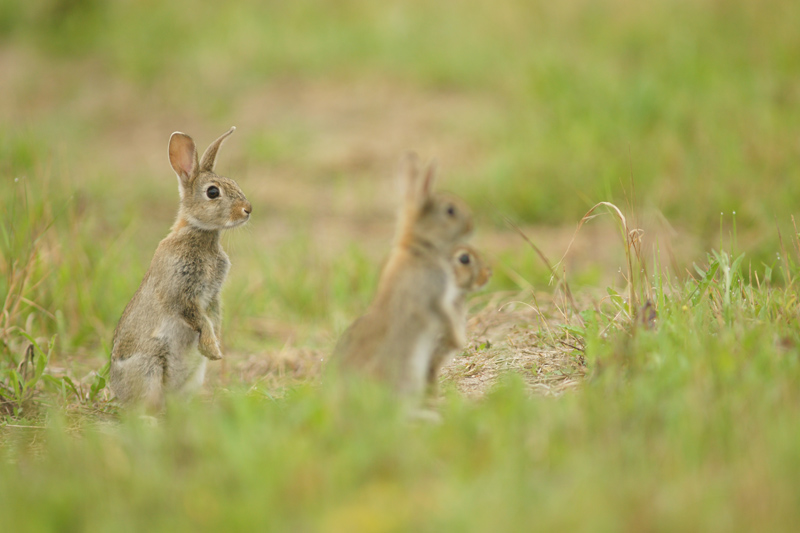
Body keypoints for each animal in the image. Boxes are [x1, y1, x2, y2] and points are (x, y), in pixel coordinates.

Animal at [109, 127, 251, 410]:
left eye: (234, 182)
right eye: (212, 192)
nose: (247, 210)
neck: (200, 233)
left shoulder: (213, 295)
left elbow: (214, 318)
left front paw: (216, 347)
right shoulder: (180, 292)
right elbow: (199, 318)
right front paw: (212, 349)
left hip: (194, 375)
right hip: (149, 368)